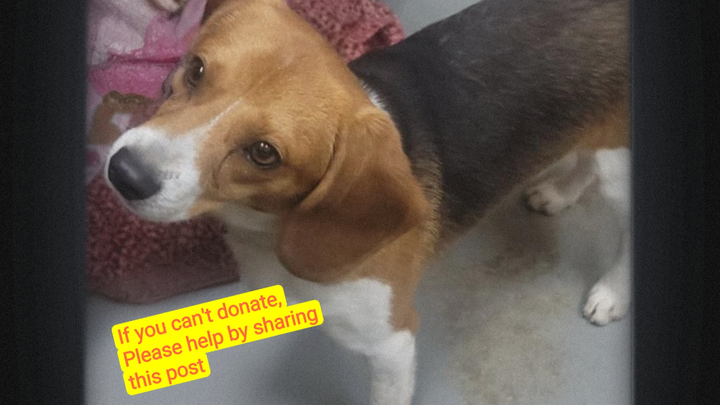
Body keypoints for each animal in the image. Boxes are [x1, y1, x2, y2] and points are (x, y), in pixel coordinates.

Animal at [105, 0, 630, 403]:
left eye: (264, 153)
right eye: (196, 69)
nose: (125, 174)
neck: (269, 229)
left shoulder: (392, 344)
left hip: (622, 168)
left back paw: (611, 294)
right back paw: (559, 192)